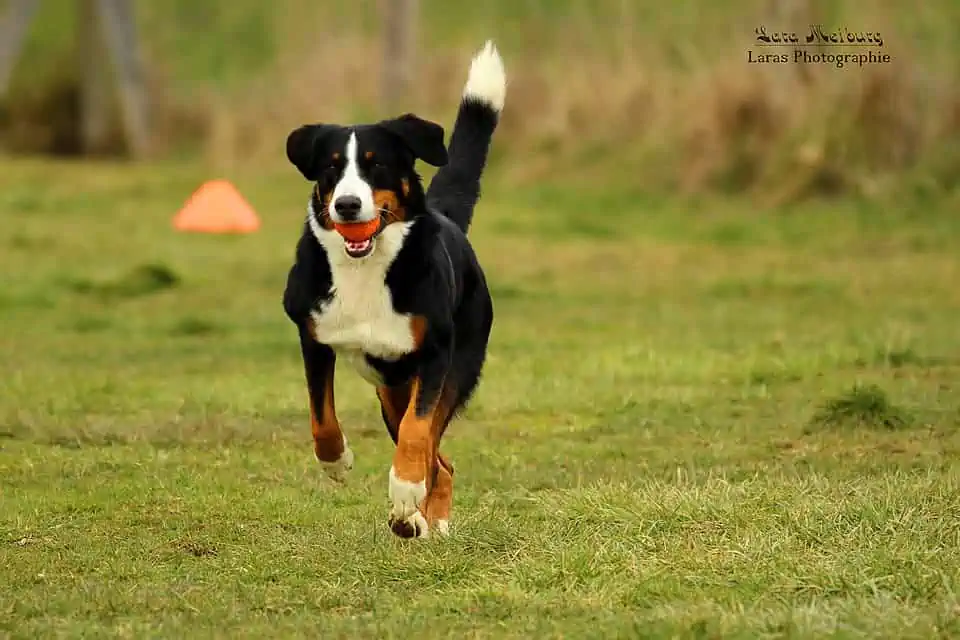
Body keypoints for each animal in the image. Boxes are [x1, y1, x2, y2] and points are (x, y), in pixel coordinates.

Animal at [280, 41, 506, 540]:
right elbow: (320, 415)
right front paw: (337, 461)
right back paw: (418, 519)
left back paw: (422, 516)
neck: (364, 267)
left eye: (376, 163)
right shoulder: (312, 336)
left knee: (434, 452)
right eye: (331, 169)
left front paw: (404, 489)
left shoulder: (437, 353)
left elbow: (416, 433)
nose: (347, 205)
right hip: (390, 389)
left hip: (455, 368)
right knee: (440, 460)